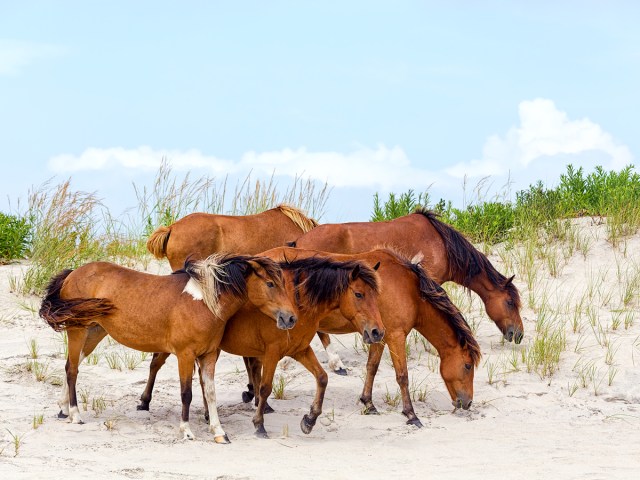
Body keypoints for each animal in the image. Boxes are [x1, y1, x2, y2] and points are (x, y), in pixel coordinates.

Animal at [41, 253, 296, 444]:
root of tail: (72, 273)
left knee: (71, 365)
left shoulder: (209, 355)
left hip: (95, 331)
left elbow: (210, 393)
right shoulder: (185, 355)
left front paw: (219, 433)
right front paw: (186, 431)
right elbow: (187, 393)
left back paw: (63, 408)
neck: (203, 302)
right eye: (270, 284)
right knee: (72, 369)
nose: (290, 318)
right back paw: (75, 414)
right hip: (78, 330)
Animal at [240, 248, 480, 428]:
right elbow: (402, 376)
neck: (408, 288)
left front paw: (368, 403)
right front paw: (411, 415)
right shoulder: (395, 336)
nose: (468, 403)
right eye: (468, 366)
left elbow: (372, 367)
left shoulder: (379, 335)